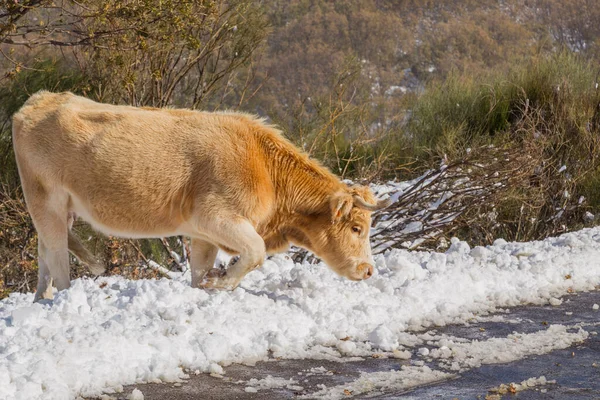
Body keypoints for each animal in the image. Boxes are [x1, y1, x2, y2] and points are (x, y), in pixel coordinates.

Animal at [12, 91, 390, 304]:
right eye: (357, 228)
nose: (369, 270)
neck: (264, 166)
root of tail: (39, 99)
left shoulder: (203, 232)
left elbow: (200, 268)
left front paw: (205, 288)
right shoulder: (217, 216)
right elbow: (255, 252)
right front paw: (221, 284)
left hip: (60, 209)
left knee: (44, 252)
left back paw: (41, 299)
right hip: (46, 200)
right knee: (57, 256)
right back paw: (60, 298)